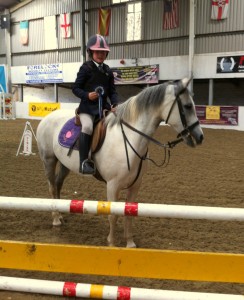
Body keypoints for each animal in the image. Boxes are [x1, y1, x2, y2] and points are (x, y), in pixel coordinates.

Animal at [36, 78, 204, 248]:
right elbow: (113, 215)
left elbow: (129, 213)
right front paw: (112, 244)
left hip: (64, 164)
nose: (200, 136)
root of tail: (47, 118)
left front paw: (130, 243)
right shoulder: (113, 185)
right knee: (52, 187)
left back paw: (60, 214)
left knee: (58, 185)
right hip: (49, 160)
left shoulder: (135, 185)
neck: (130, 139)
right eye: (188, 106)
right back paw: (56, 219)